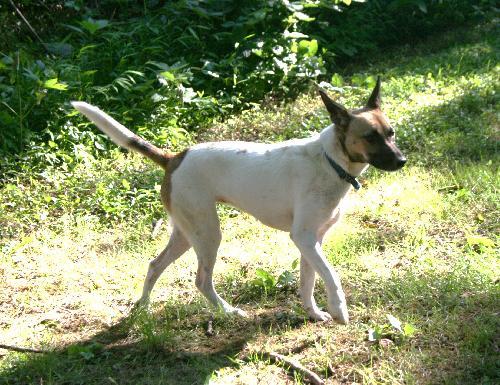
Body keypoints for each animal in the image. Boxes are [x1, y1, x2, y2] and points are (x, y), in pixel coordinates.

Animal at [71, 76, 406, 322]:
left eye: (391, 133)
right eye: (370, 137)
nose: (401, 161)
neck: (329, 160)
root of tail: (173, 158)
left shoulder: (313, 241)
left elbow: (308, 281)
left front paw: (314, 313)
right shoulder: (304, 238)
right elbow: (331, 276)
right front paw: (339, 309)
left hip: (186, 233)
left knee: (154, 265)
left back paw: (142, 307)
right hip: (208, 234)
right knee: (201, 280)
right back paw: (227, 311)